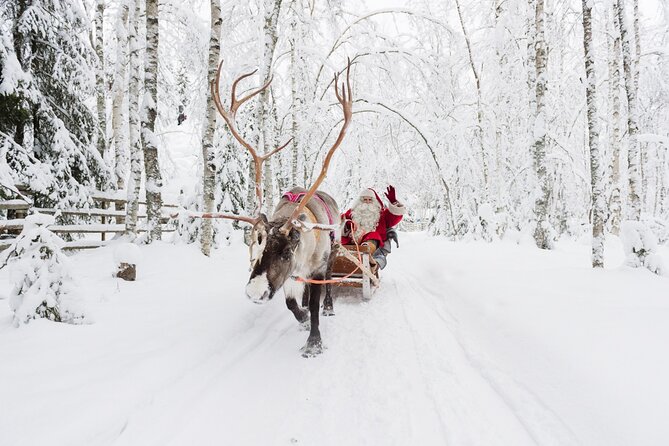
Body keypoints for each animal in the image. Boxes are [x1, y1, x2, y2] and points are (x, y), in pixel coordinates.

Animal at [205, 59, 353, 357]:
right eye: (256, 247)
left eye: (285, 253)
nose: (254, 294)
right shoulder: (291, 276)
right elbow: (291, 305)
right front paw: (303, 317)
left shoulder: (314, 268)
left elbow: (316, 304)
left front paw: (313, 342)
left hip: (334, 251)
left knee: (329, 283)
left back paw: (329, 306)